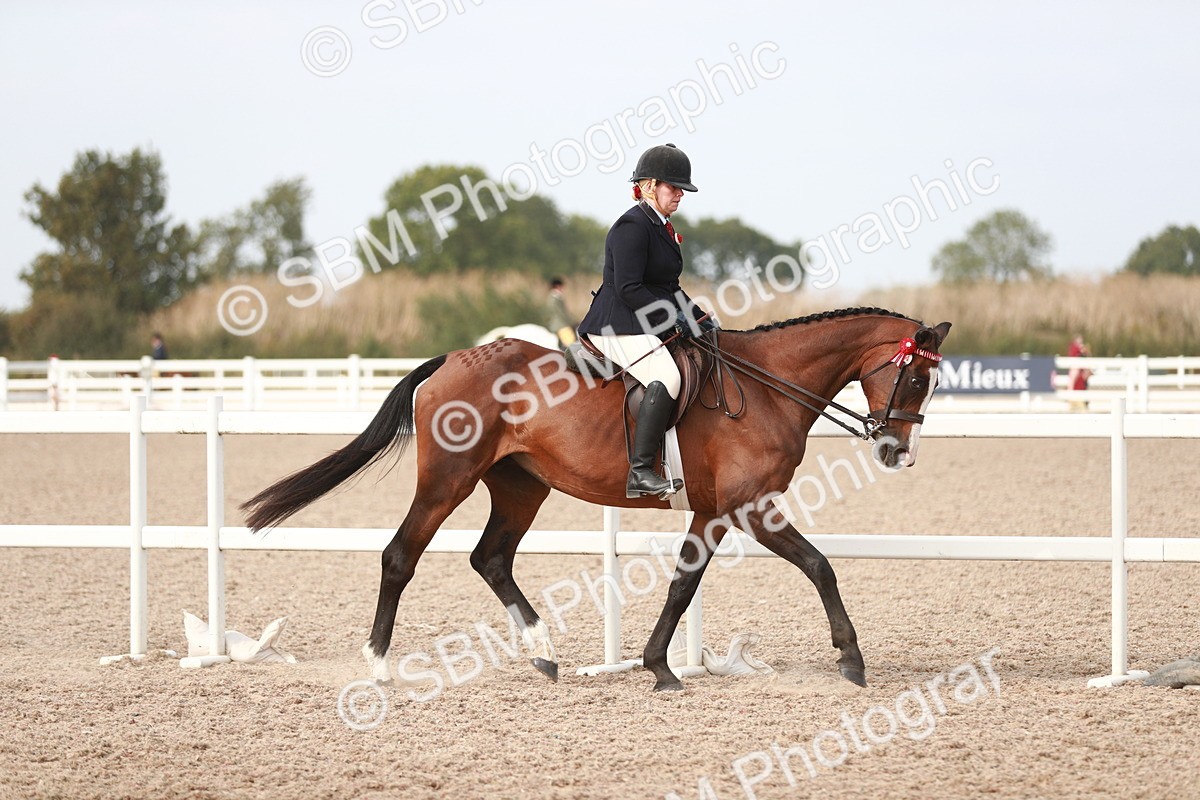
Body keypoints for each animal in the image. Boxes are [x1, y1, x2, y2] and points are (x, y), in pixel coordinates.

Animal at [242, 307, 951, 692]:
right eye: (916, 377)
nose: (899, 453)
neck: (767, 386)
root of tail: (454, 358)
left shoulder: (714, 512)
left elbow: (682, 585)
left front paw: (659, 666)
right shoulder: (749, 506)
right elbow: (819, 566)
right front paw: (852, 660)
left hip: (521, 485)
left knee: (491, 558)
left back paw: (544, 653)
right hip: (448, 478)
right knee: (400, 556)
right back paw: (380, 667)